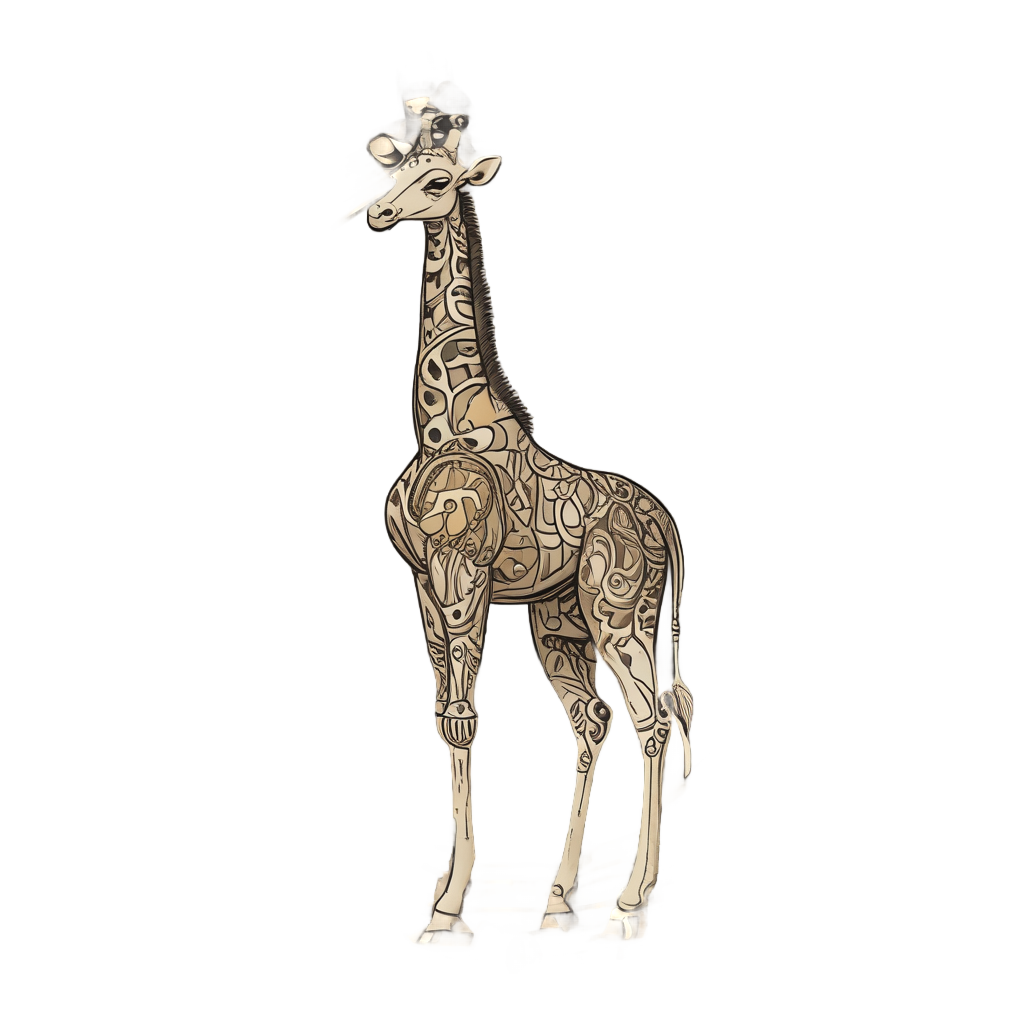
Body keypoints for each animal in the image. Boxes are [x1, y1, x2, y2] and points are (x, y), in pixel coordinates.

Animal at [363, 93, 698, 941]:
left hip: (618, 609)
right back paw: (557, 898)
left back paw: (629, 899)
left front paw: (446, 908)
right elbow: (447, 716)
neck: (443, 426)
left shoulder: (464, 575)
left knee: (648, 718)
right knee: (595, 722)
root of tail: (665, 523)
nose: (378, 213)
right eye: (395, 168)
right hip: (560, 622)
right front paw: (454, 899)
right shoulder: (425, 585)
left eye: (438, 180)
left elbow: (463, 720)